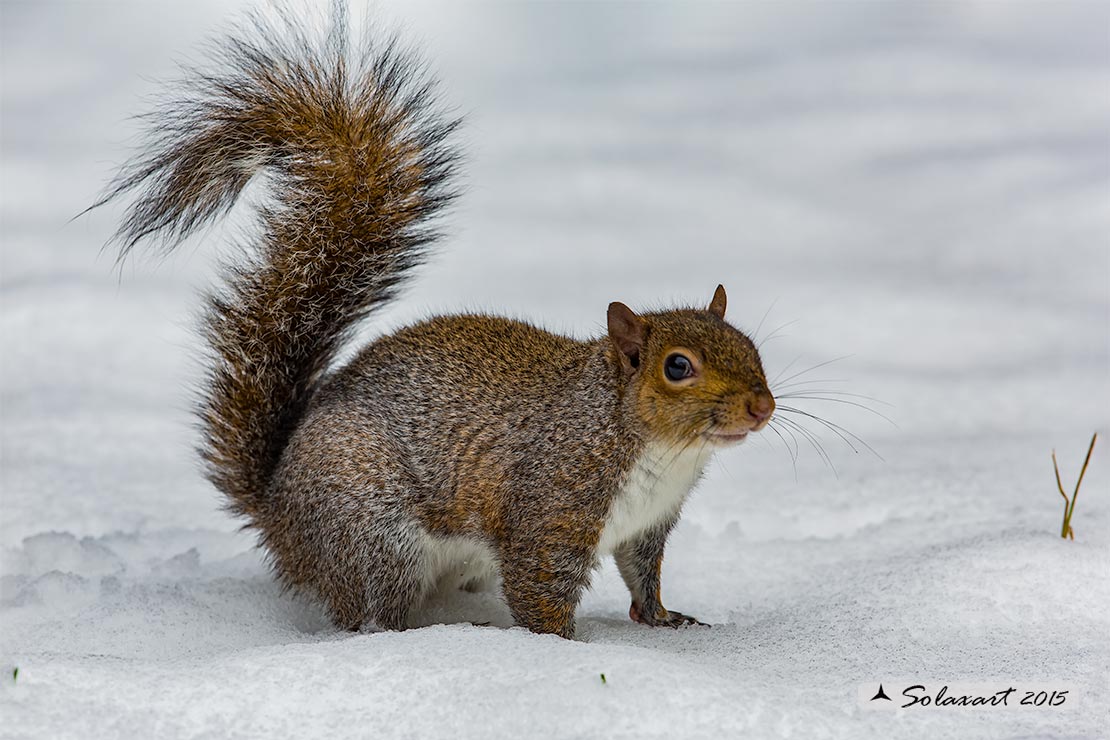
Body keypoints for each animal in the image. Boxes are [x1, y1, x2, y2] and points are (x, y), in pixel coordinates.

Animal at [99, 5, 777, 639]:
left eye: (751, 347)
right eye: (678, 367)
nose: (762, 407)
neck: (652, 444)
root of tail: (277, 510)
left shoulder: (648, 525)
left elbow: (644, 574)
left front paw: (664, 619)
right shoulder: (551, 503)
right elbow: (539, 587)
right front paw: (561, 648)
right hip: (374, 535)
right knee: (371, 614)